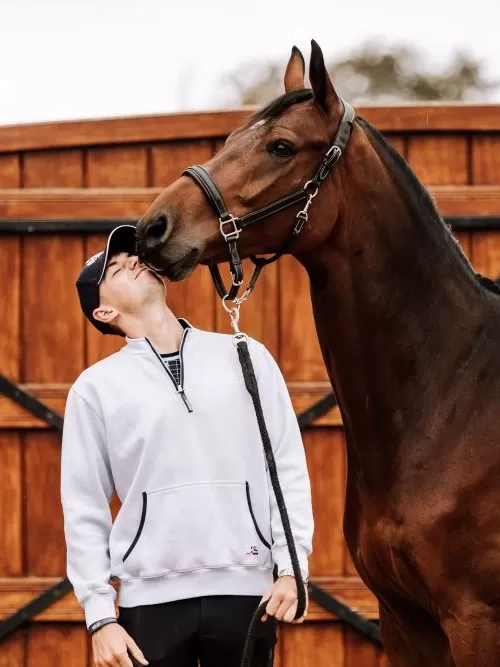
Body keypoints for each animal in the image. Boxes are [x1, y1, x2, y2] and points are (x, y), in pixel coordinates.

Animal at [135, 40, 500, 667]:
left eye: (281, 146)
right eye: (231, 138)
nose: (153, 229)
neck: (454, 399)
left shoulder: (476, 621)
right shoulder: (405, 621)